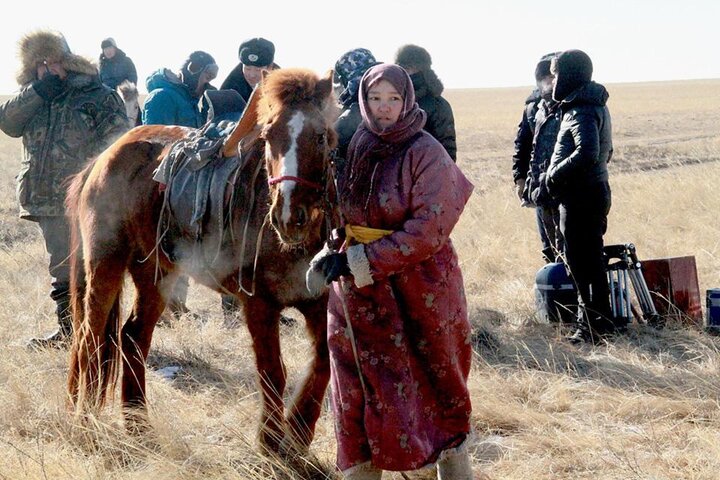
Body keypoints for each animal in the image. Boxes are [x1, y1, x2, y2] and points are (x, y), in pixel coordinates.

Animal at [67, 68, 338, 454]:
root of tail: (103, 157)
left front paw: (299, 436)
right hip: (106, 264)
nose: (289, 217)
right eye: (268, 136)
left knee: (133, 337)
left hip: (155, 274)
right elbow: (273, 370)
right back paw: (86, 423)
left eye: (320, 136)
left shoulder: (320, 303)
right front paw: (271, 444)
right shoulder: (258, 304)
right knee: (89, 337)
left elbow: (323, 365)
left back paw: (138, 426)